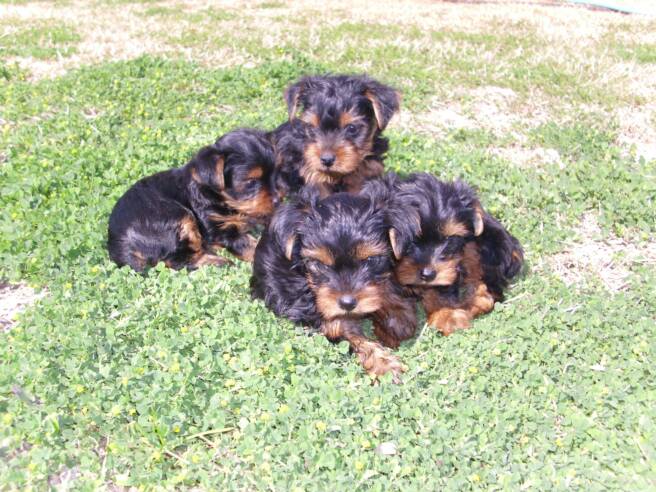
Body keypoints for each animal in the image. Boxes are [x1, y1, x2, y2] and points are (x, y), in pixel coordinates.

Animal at [109, 129, 278, 270]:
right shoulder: (219, 228)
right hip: (178, 218)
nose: (278, 200)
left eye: (274, 174)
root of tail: (118, 246)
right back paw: (219, 262)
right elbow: (250, 245)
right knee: (177, 260)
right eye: (251, 182)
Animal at [251, 186, 416, 382]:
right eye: (320, 264)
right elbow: (343, 330)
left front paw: (397, 314)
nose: (347, 303)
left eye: (370, 260)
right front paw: (384, 365)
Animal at [384, 172, 524, 334]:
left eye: (449, 239)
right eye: (410, 241)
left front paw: (446, 314)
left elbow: (443, 286)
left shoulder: (452, 264)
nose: (428, 275)